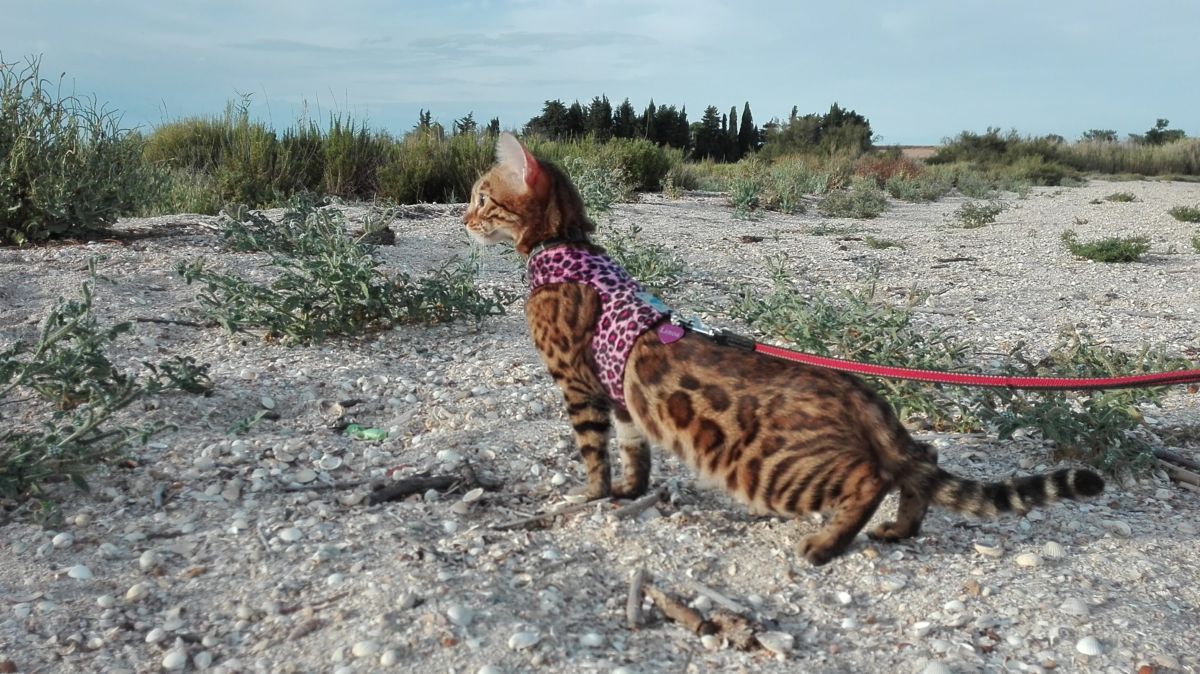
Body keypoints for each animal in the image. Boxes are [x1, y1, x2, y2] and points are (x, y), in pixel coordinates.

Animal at [463, 131, 1099, 561]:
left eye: (481, 198)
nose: (463, 220)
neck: (565, 245)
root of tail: (862, 397)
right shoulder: (620, 397)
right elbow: (634, 450)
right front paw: (627, 491)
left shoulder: (579, 384)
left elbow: (593, 452)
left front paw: (591, 494)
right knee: (924, 455)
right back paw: (900, 529)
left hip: (771, 471)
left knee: (873, 478)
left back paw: (825, 544)